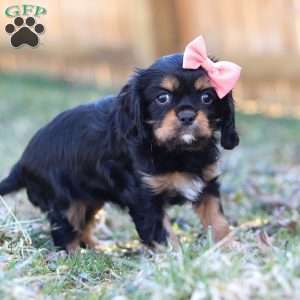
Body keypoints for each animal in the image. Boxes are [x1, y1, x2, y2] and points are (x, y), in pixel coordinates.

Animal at [0, 37, 239, 253]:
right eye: (162, 98)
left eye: (207, 97)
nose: (188, 115)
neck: (178, 151)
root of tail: (22, 162)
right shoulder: (145, 199)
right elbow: (162, 234)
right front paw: (175, 260)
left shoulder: (206, 185)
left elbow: (217, 220)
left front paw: (229, 249)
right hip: (65, 202)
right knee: (64, 232)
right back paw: (76, 257)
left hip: (91, 197)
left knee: (83, 226)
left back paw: (98, 248)